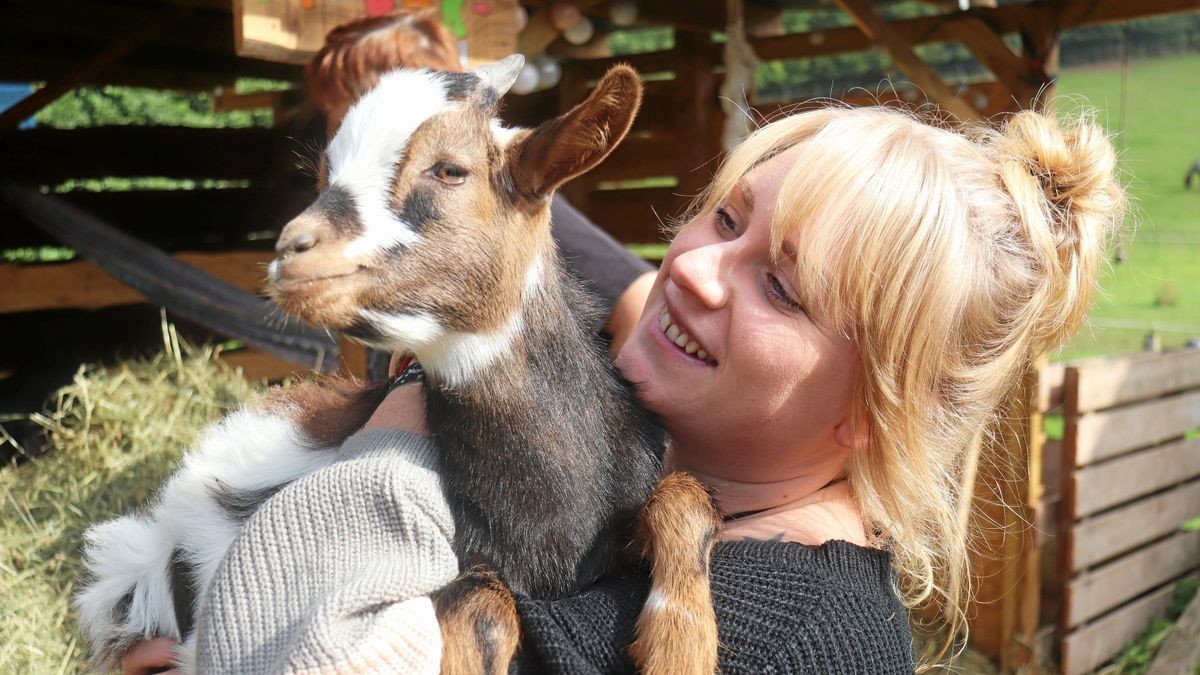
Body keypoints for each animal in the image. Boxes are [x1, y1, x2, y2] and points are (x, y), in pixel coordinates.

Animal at [82, 59, 720, 672]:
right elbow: (484, 607)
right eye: (323, 176)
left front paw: (679, 648)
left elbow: (687, 496)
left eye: (450, 170)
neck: (554, 525)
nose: (291, 251)